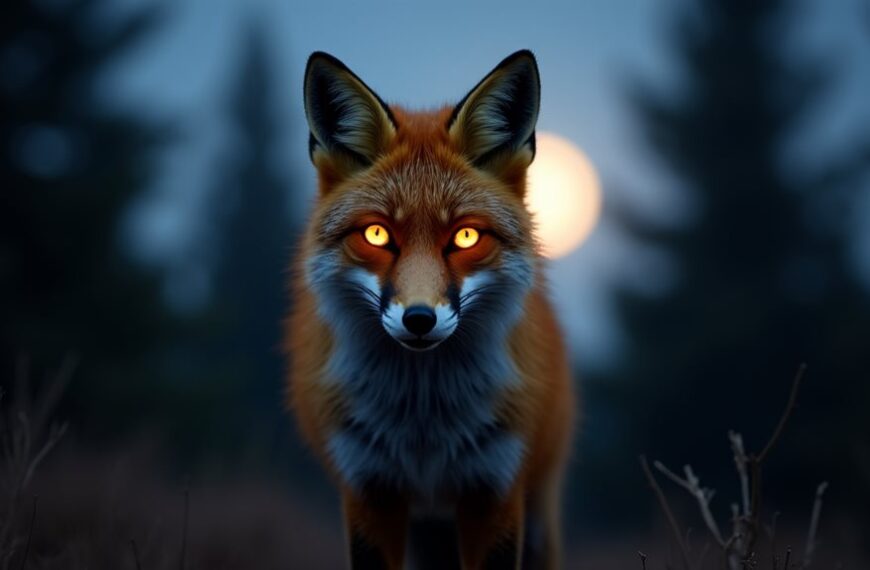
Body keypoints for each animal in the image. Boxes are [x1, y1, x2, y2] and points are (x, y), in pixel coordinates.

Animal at [285, 50, 576, 570]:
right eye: (377, 233)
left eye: (465, 236)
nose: (419, 319)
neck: (424, 423)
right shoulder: (368, 491)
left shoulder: (494, 490)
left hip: (539, 518)